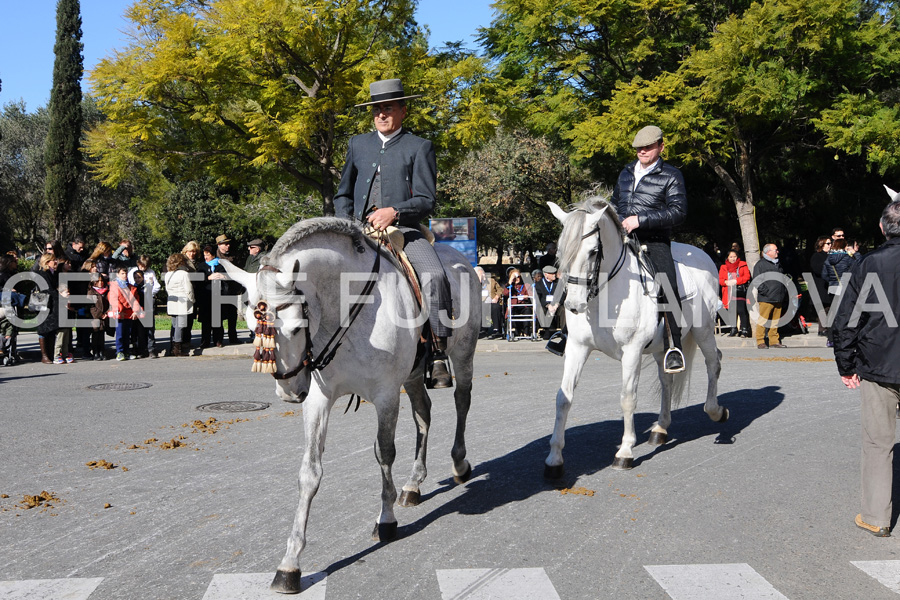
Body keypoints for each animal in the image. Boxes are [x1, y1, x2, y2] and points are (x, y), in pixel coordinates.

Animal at [222, 217, 482, 596]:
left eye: (297, 326)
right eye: (252, 325)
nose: (289, 391)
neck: (347, 307)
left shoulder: (386, 394)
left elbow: (384, 453)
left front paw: (386, 521)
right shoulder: (319, 398)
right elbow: (309, 473)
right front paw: (290, 564)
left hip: (462, 356)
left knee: (462, 401)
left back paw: (459, 462)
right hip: (412, 376)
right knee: (423, 413)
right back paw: (413, 484)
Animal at [540, 197, 732, 478]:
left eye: (593, 252)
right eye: (560, 252)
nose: (574, 305)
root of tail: (703, 255)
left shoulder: (631, 352)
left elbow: (627, 398)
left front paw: (625, 452)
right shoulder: (577, 348)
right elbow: (563, 398)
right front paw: (554, 459)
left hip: (704, 330)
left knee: (714, 363)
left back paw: (717, 412)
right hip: (664, 346)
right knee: (667, 380)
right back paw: (660, 429)